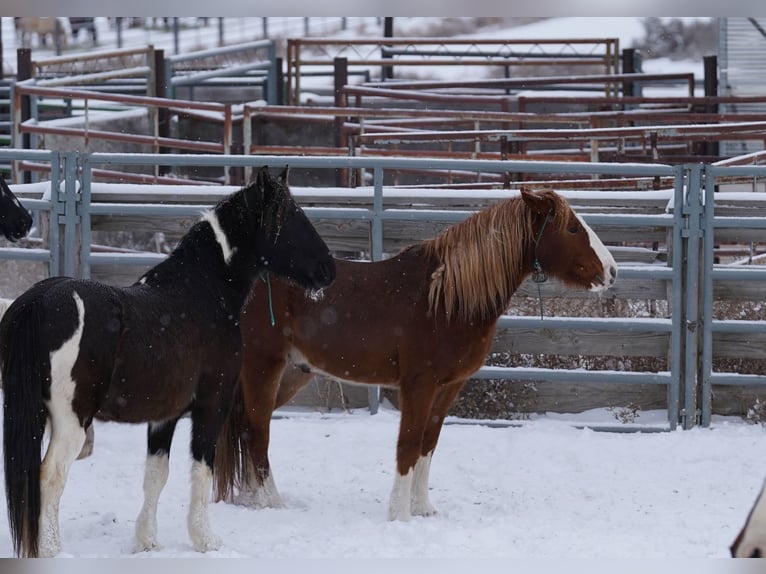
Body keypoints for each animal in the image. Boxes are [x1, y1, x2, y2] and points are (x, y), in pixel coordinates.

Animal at [0, 166, 336, 560]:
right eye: (291, 217)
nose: (329, 269)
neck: (203, 292)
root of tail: (38, 301)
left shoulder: (163, 416)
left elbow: (155, 476)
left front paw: (147, 541)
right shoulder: (211, 406)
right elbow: (201, 471)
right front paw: (206, 540)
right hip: (70, 421)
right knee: (49, 477)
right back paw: (51, 550)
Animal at [214, 189, 616, 520]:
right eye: (572, 229)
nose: (611, 271)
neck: (446, 298)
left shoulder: (448, 387)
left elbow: (427, 444)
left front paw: (424, 509)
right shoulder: (418, 385)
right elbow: (407, 445)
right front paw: (399, 514)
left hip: (291, 373)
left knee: (247, 429)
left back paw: (251, 499)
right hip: (263, 367)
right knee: (256, 431)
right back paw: (273, 503)